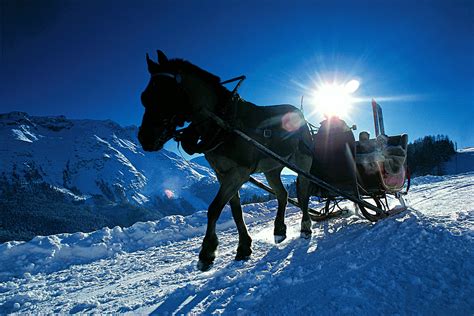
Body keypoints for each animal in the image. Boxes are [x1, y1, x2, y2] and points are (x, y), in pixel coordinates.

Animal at [138, 50, 314, 270]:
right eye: (144, 98)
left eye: (166, 94)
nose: (144, 138)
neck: (223, 123)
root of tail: (302, 117)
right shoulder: (222, 174)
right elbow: (235, 210)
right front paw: (244, 247)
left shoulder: (239, 172)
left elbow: (214, 208)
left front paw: (207, 252)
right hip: (271, 169)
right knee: (282, 194)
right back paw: (280, 229)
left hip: (302, 163)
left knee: (304, 194)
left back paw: (305, 226)